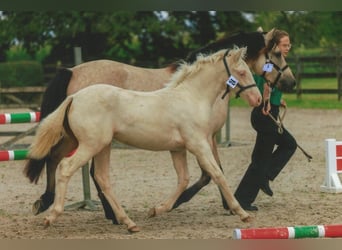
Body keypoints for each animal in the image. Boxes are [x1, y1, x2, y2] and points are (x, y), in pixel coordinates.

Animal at [24, 29, 296, 223]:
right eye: (277, 54)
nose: (259, 99)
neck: (191, 95)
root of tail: (74, 94)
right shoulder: (200, 141)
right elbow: (214, 173)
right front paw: (238, 210)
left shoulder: (181, 147)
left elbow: (188, 177)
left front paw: (160, 208)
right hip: (90, 144)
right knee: (68, 167)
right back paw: (64, 213)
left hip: (82, 141)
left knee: (63, 162)